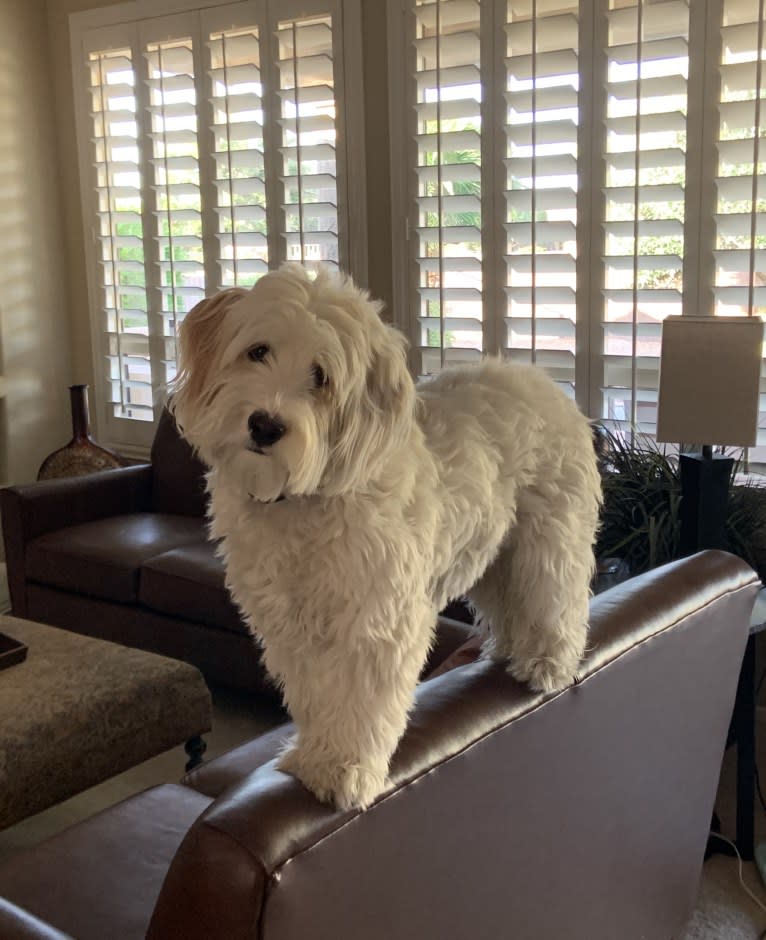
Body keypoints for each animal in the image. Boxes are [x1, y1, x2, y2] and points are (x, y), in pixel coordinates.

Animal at [170, 262, 608, 808]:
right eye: (257, 351)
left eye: (321, 377)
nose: (266, 425)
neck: (307, 498)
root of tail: (543, 381)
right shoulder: (291, 622)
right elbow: (315, 692)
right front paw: (316, 757)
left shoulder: (375, 618)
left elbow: (361, 698)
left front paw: (346, 769)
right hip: (491, 549)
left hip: (547, 540)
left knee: (556, 598)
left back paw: (548, 661)